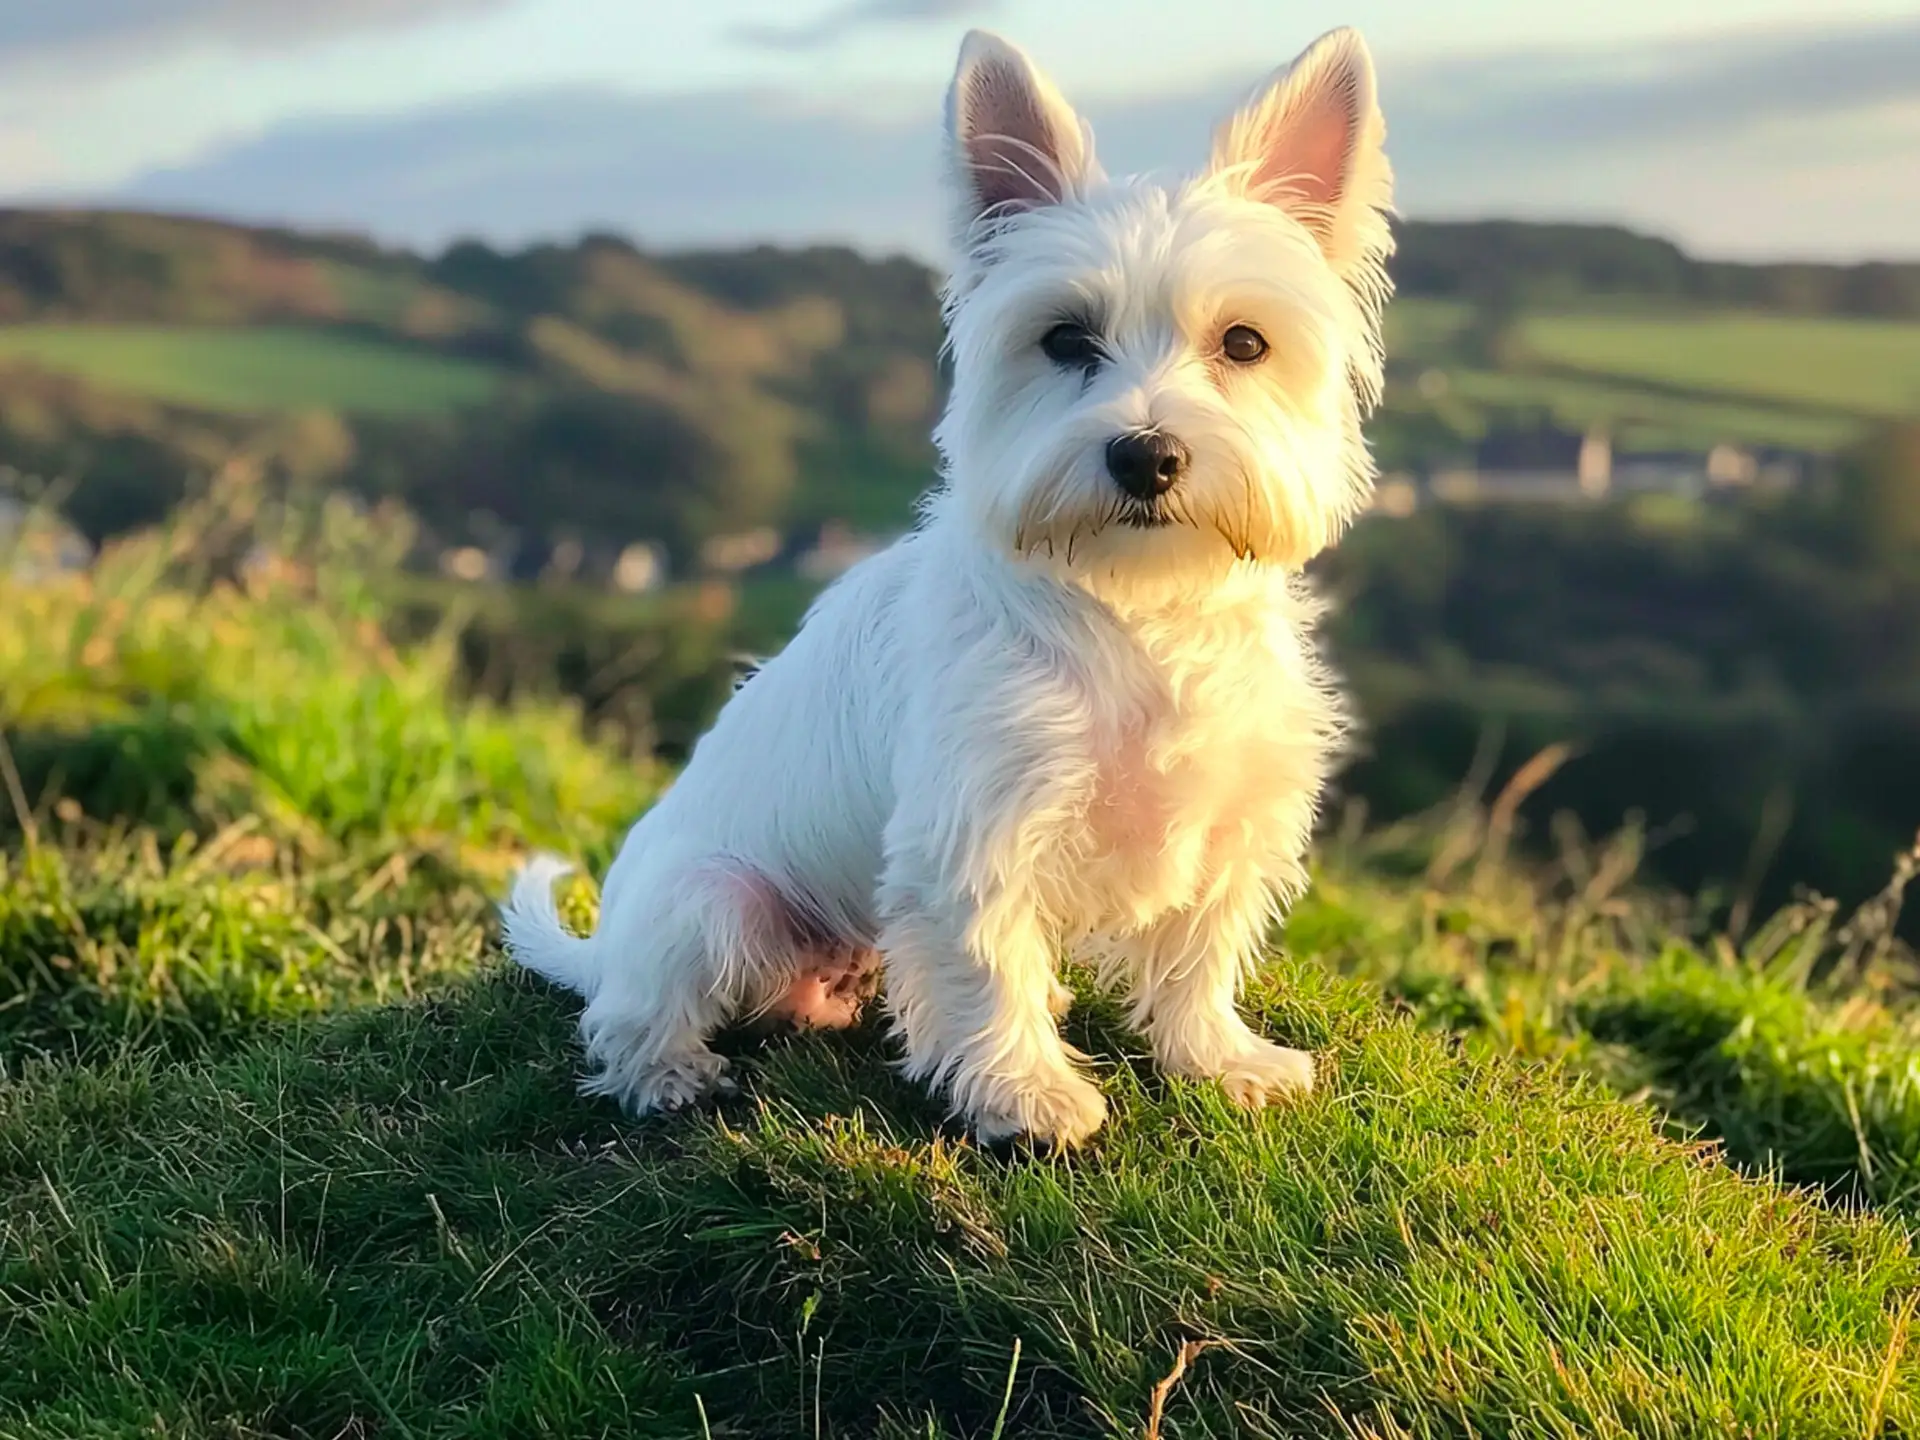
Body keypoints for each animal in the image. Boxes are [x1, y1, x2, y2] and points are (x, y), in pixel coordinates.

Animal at [503, 22, 1390, 1152]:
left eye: (1244, 342)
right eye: (1065, 339)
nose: (1147, 457)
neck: (1136, 611)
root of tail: (604, 942)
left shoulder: (1229, 814)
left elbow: (1198, 954)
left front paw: (1218, 1058)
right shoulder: (978, 827)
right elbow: (985, 963)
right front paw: (1027, 1095)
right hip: (715, 902)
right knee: (631, 1015)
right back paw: (666, 1072)